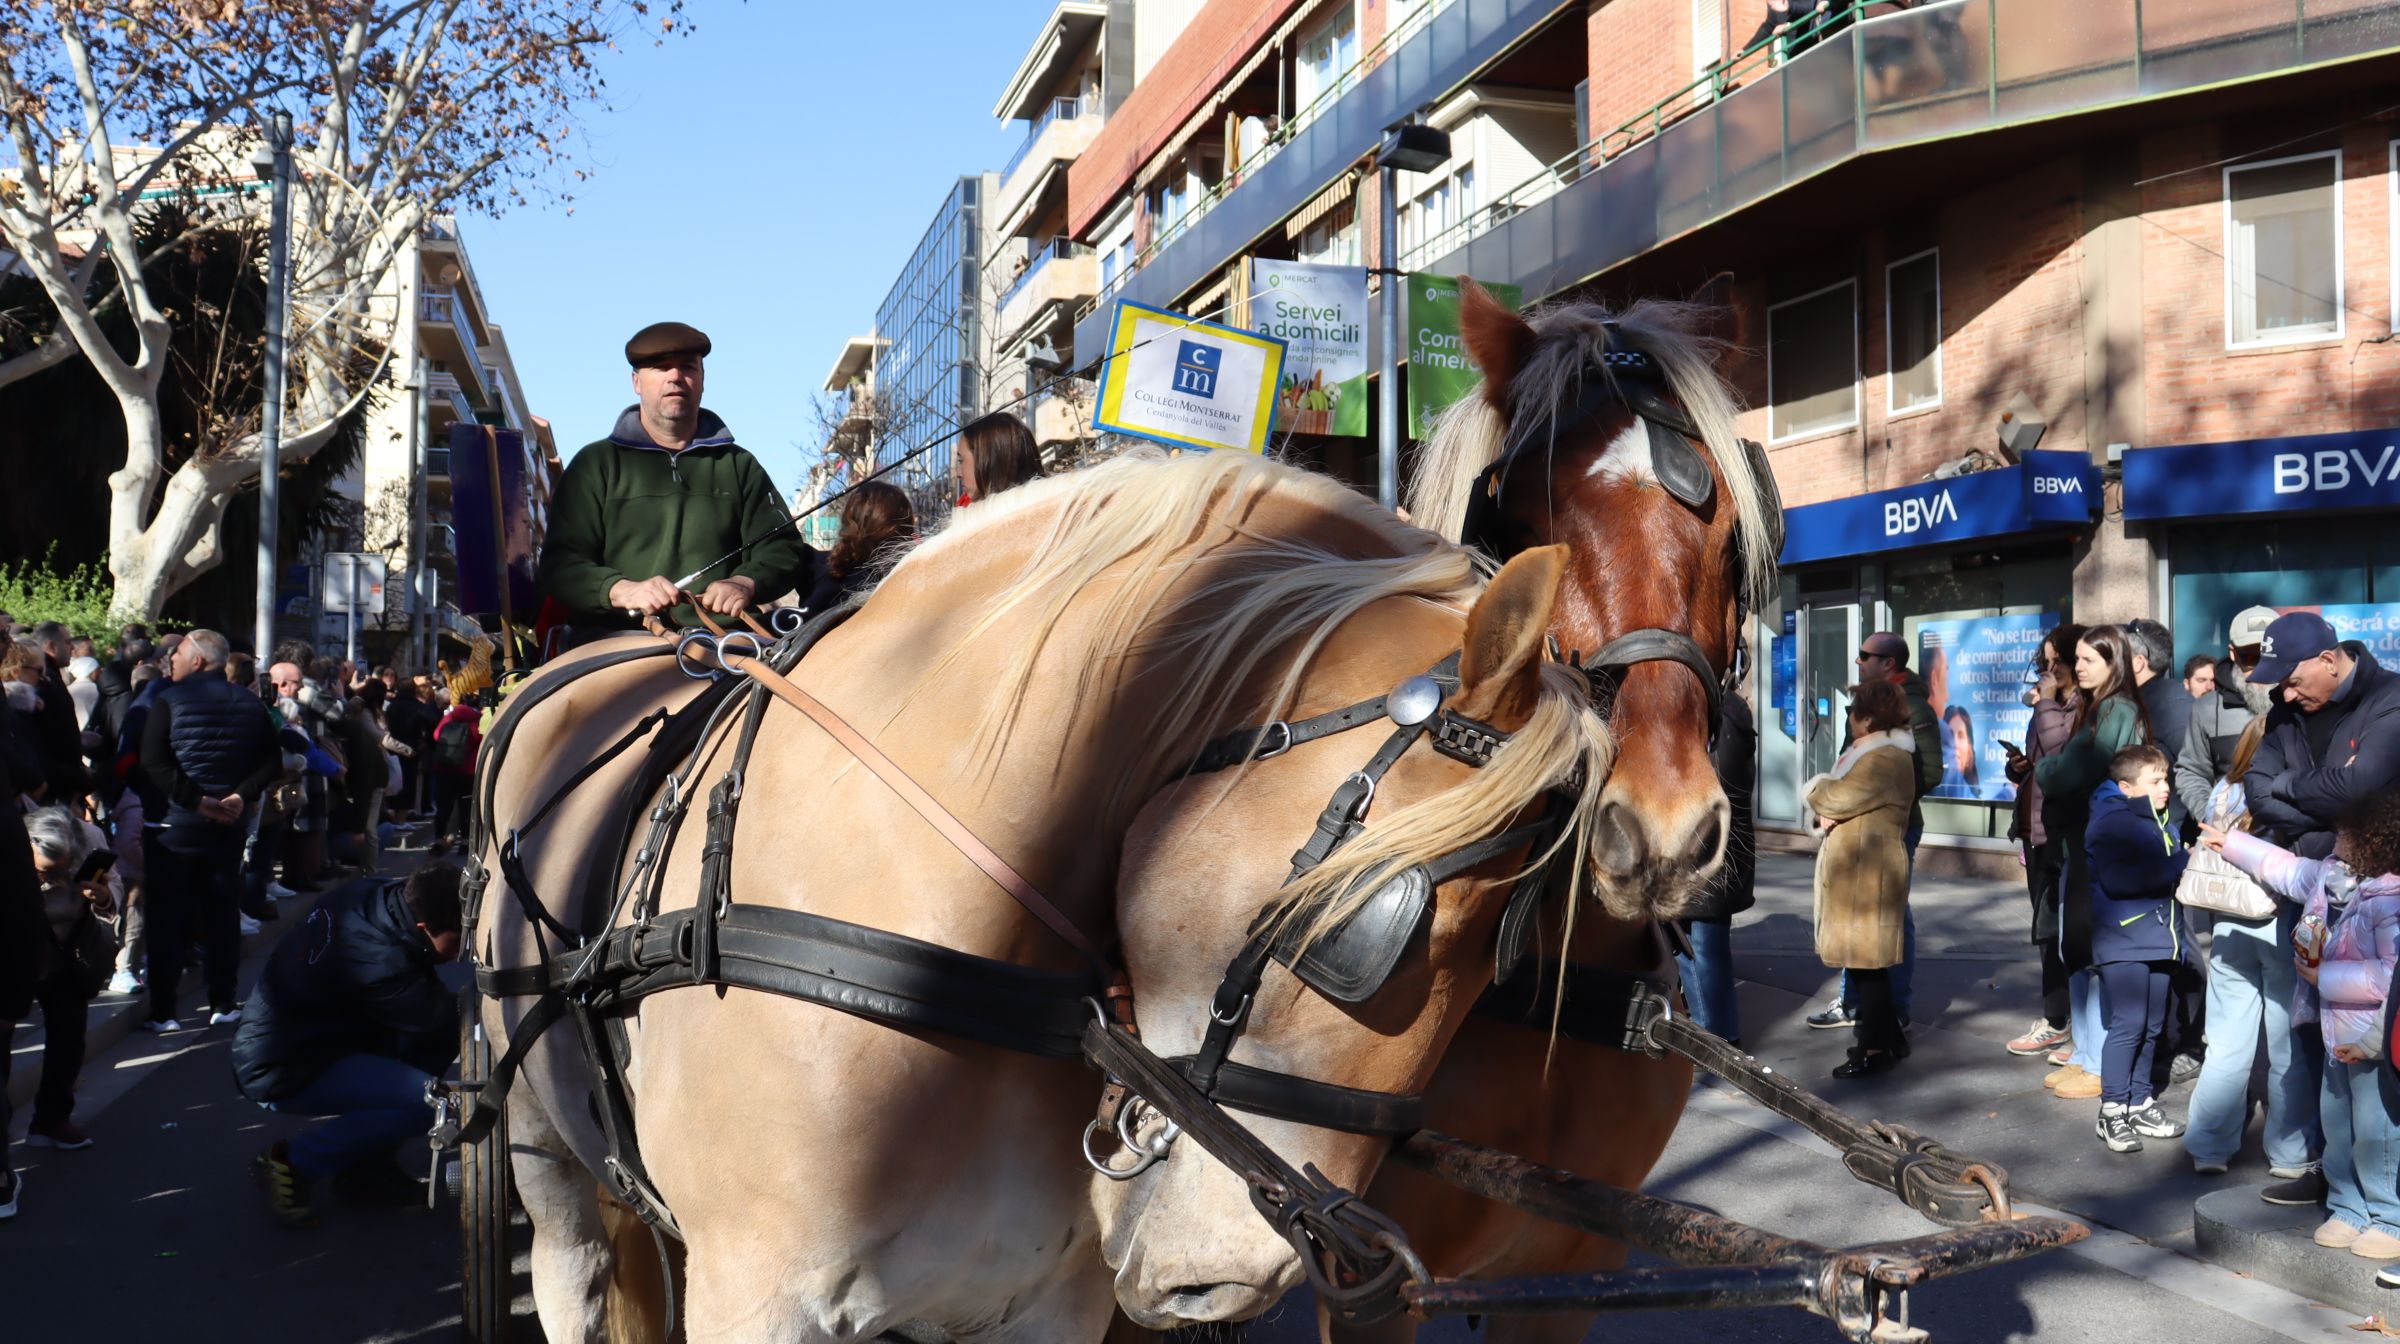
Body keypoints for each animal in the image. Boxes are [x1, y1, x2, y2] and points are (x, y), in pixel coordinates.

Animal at [470, 451, 1632, 1344]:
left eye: (1499, 977)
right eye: (1368, 930)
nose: (1239, 1280)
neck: (941, 977)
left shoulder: (1041, 1306)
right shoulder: (757, 1298)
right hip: (539, 1146)